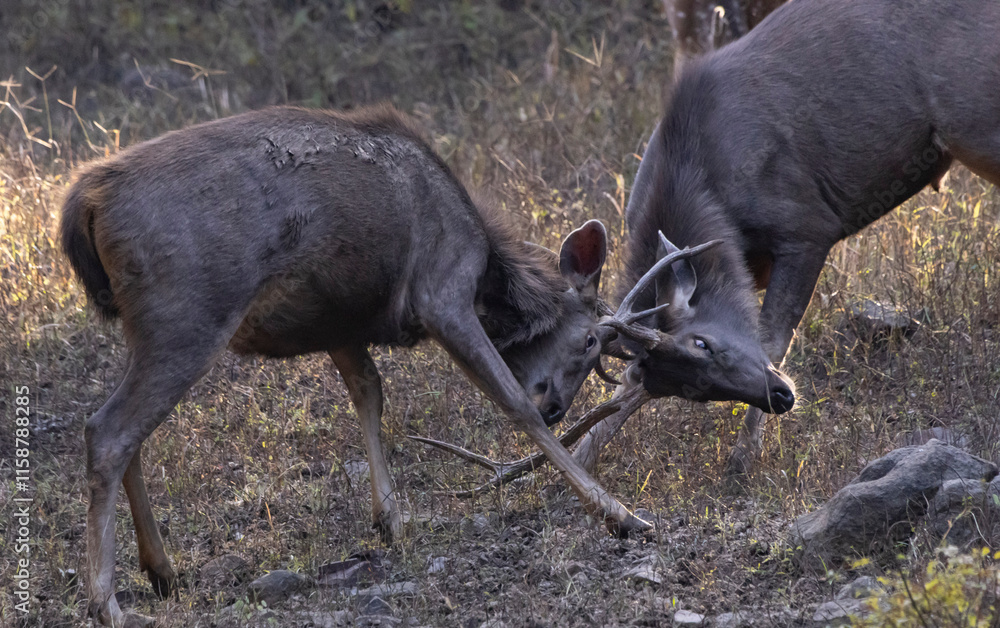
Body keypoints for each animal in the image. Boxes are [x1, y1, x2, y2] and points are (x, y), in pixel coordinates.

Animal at [61, 104, 713, 626]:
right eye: (589, 341)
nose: (558, 404)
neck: (488, 276)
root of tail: (85, 205)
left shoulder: (340, 322)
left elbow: (369, 392)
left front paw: (389, 520)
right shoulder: (441, 291)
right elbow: (510, 403)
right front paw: (621, 515)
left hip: (150, 327)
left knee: (121, 428)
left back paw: (163, 571)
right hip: (189, 314)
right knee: (108, 429)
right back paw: (107, 601)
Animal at [577, 0, 1000, 477]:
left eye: (703, 342)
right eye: (688, 390)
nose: (781, 396)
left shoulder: (806, 226)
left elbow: (774, 339)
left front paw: (742, 460)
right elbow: (622, 396)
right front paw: (576, 463)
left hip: (979, 125)